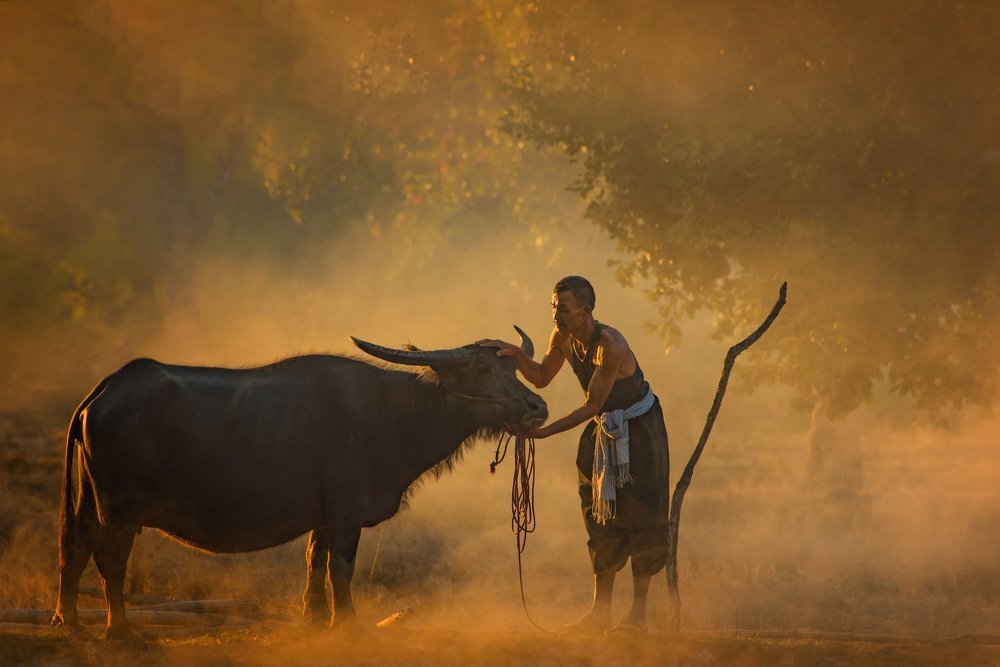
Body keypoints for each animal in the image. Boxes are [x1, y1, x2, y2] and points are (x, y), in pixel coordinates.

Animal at [51, 328, 546, 640]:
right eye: (482, 370)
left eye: (512, 369)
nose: (537, 407)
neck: (392, 414)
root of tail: (107, 390)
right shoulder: (346, 512)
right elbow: (340, 568)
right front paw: (347, 624)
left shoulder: (322, 515)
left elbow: (314, 561)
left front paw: (314, 619)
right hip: (119, 508)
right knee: (110, 559)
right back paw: (120, 631)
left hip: (89, 503)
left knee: (73, 548)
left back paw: (69, 622)